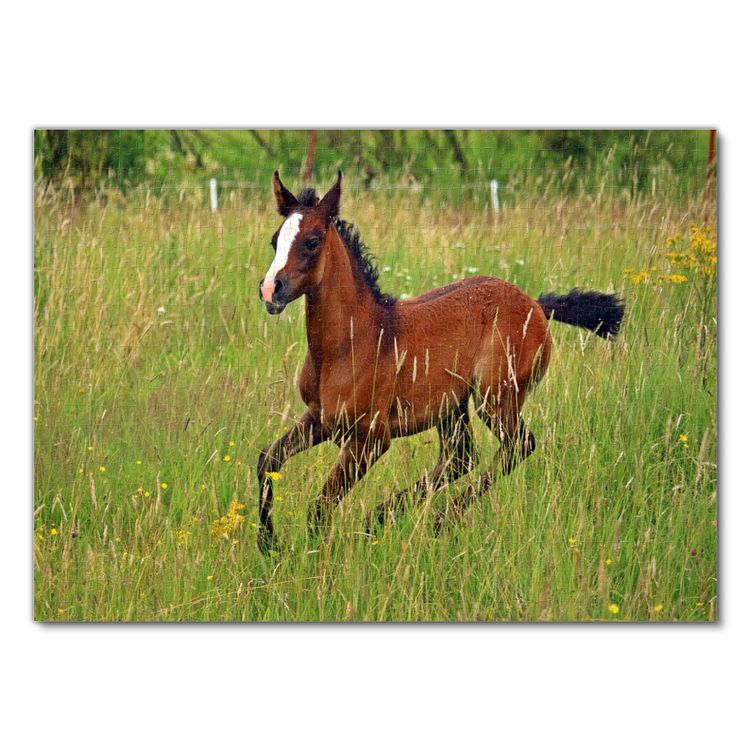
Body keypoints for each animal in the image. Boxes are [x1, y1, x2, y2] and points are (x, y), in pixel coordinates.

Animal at [256, 171, 624, 552]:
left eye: (312, 242)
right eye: (275, 240)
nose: (270, 290)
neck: (351, 343)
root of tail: (537, 306)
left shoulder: (371, 439)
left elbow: (320, 506)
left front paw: (314, 554)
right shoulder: (319, 418)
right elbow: (268, 459)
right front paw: (269, 544)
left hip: (496, 399)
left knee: (517, 446)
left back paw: (434, 518)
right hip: (452, 408)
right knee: (461, 458)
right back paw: (384, 517)